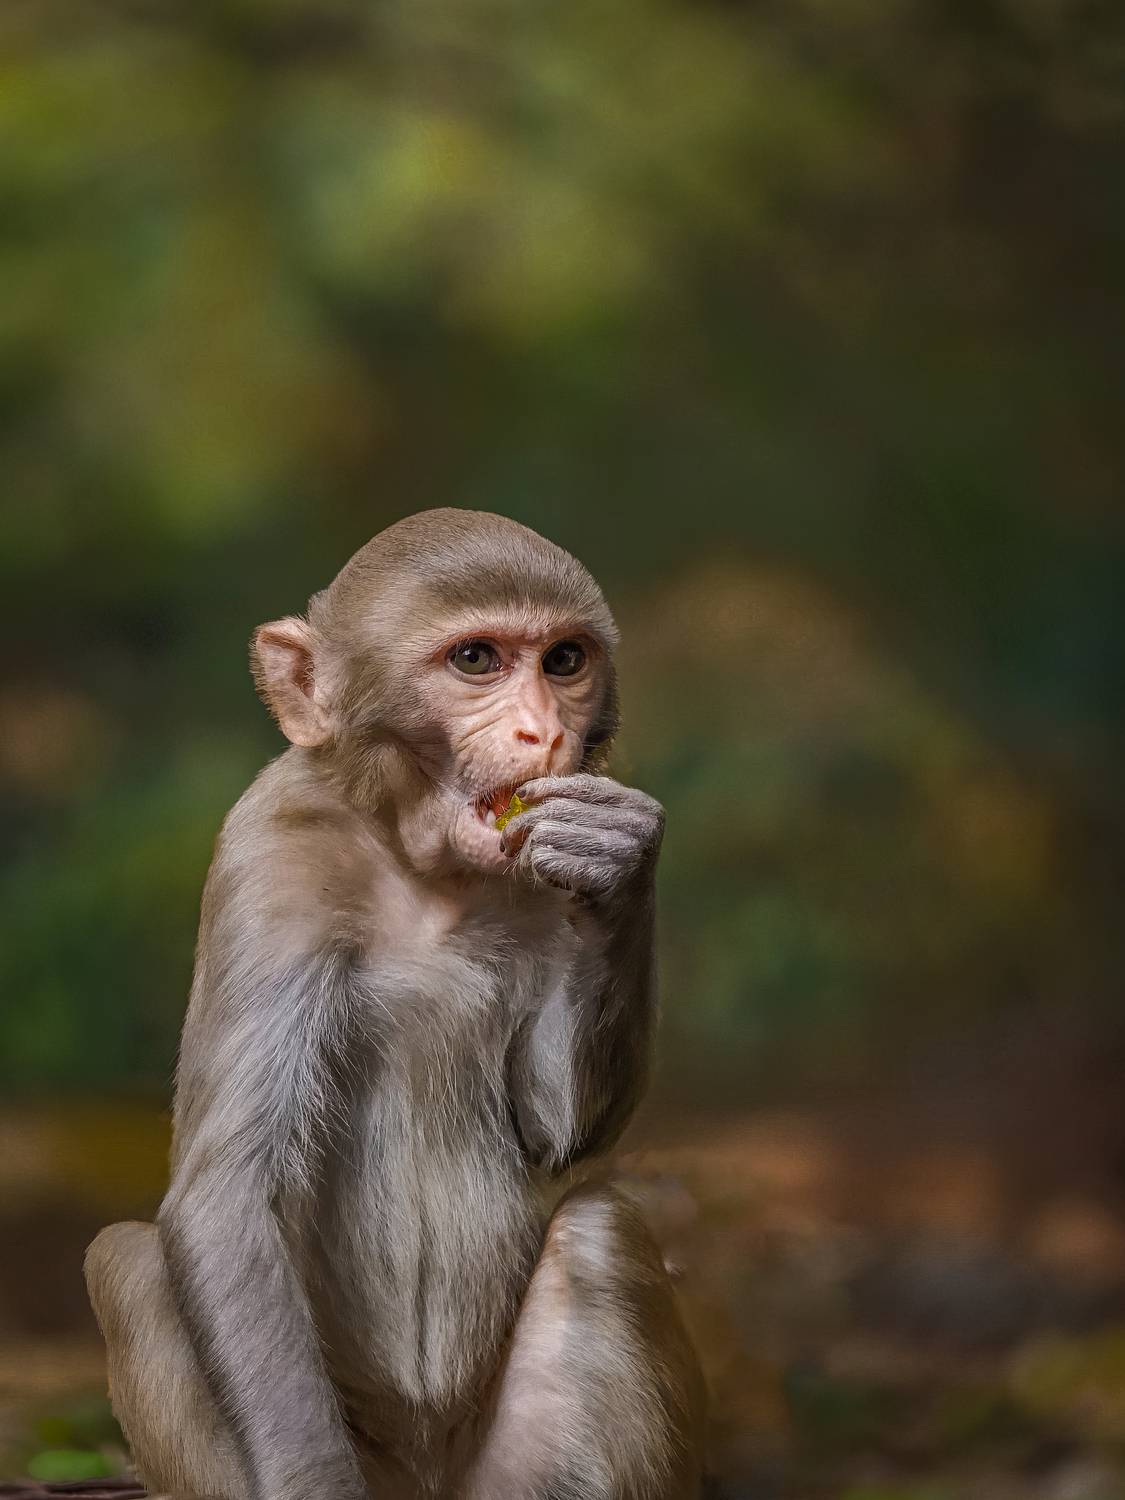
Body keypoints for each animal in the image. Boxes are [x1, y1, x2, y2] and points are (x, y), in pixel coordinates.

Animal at [85, 509, 706, 1500]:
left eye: (564, 660)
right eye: (476, 659)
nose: (543, 735)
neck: (420, 868)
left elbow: (554, 1131)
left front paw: (616, 855)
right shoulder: (270, 858)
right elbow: (226, 1195)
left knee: (600, 1229)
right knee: (131, 1263)